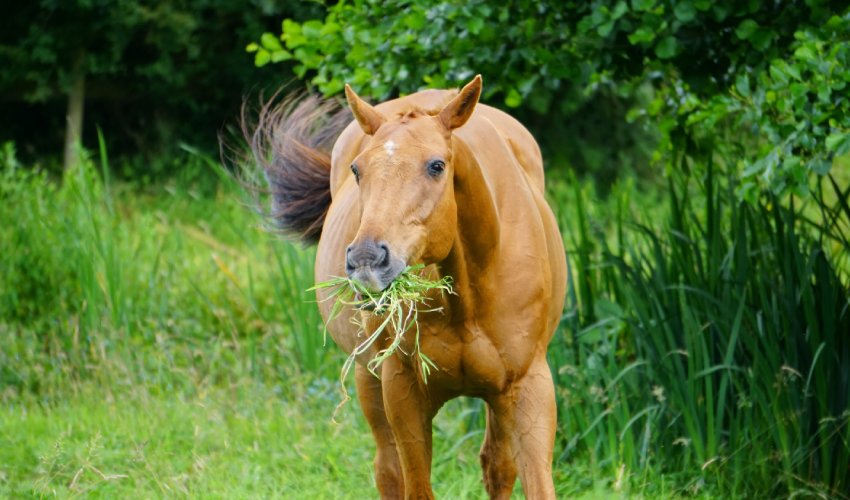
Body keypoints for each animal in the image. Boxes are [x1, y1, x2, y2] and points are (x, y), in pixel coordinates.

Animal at [252, 75, 567, 499]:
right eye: (357, 169)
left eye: (436, 165)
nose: (367, 259)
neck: (468, 298)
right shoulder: (404, 392)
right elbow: (414, 484)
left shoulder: (528, 388)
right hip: (368, 379)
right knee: (387, 470)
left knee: (497, 466)